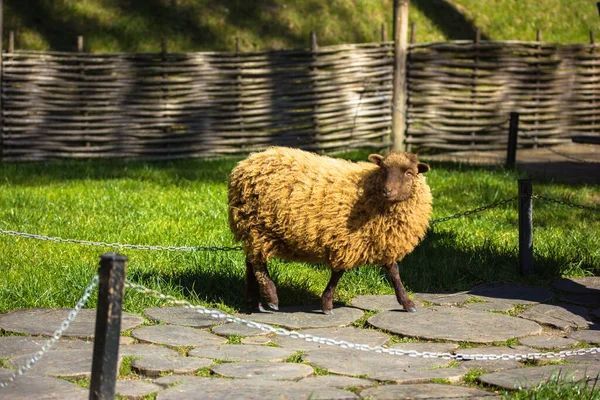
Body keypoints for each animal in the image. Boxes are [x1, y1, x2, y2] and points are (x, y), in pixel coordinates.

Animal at [229, 145, 432, 314]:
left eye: (410, 173)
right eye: (383, 169)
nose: (387, 191)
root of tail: (247, 162)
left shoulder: (381, 239)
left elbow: (394, 272)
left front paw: (407, 303)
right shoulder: (346, 240)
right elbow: (338, 274)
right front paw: (327, 304)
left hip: (252, 228)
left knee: (251, 260)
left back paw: (254, 301)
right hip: (258, 226)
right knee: (258, 263)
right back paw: (271, 298)